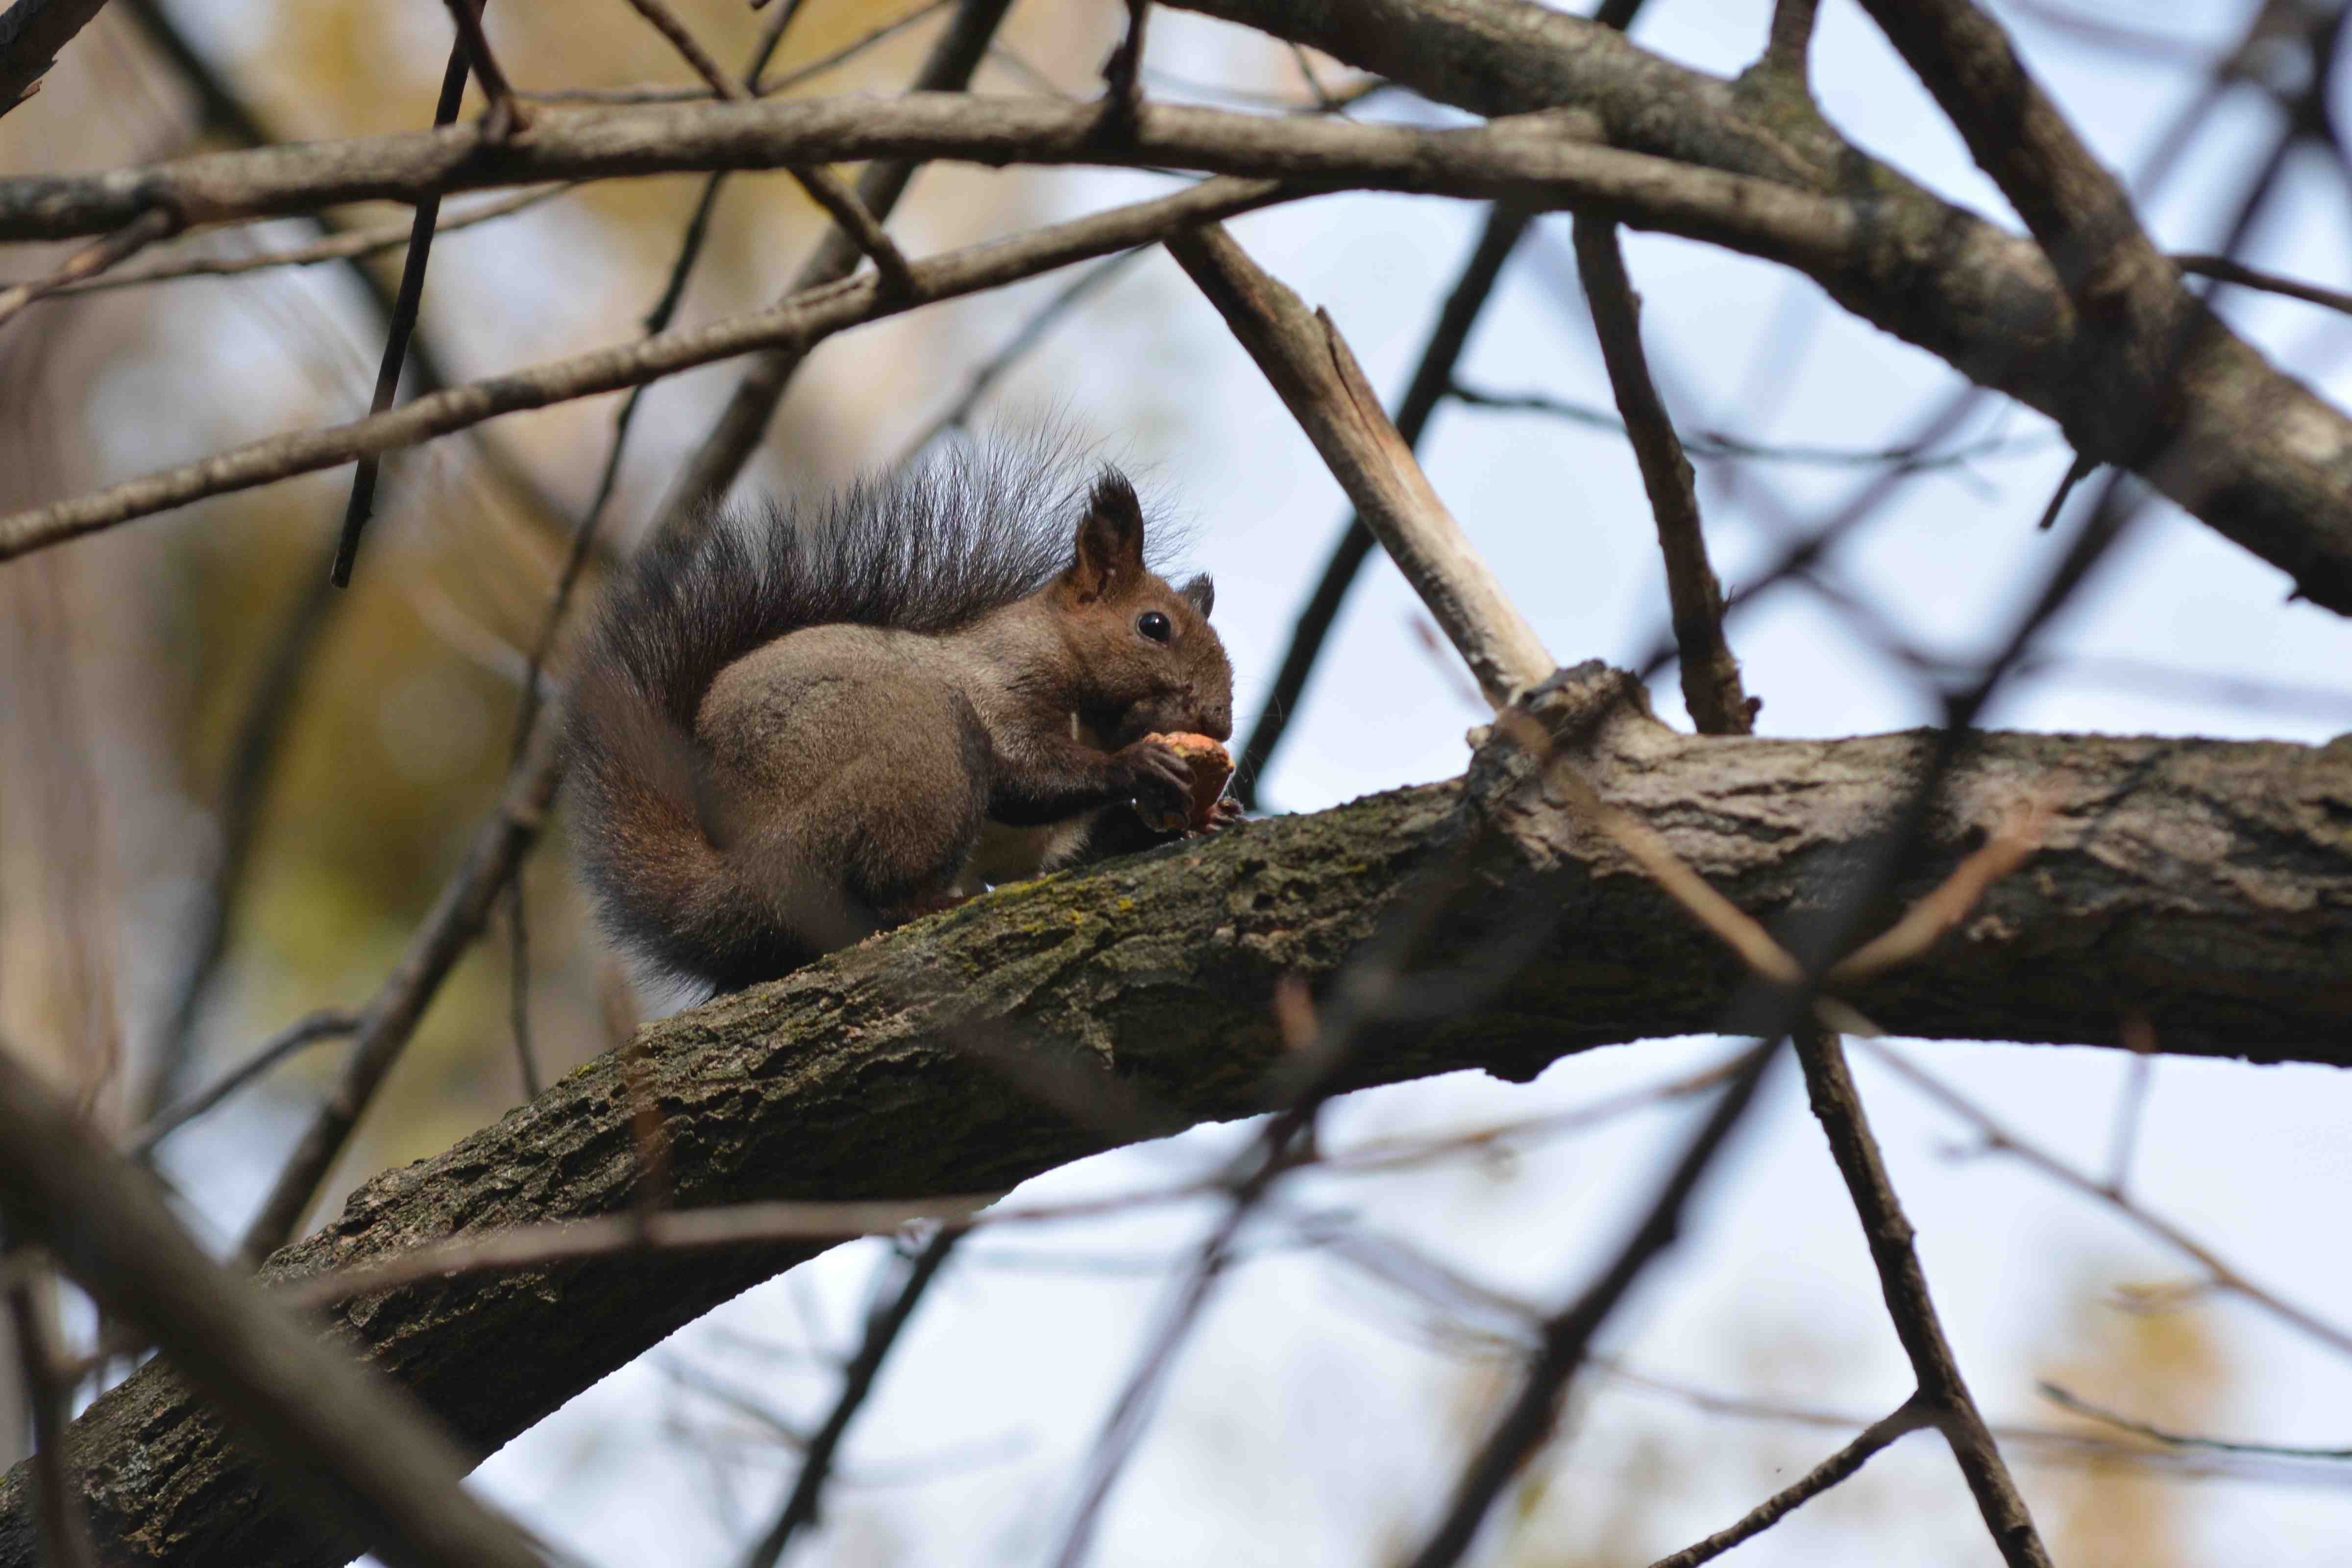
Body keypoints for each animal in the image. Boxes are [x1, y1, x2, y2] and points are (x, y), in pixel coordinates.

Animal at [566, 441, 1232, 992]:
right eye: (1154, 625)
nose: (1221, 721)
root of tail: (734, 873)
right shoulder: (1001, 685)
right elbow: (1026, 776)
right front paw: (1138, 765)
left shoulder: (1044, 845)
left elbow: (1063, 850)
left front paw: (1195, 815)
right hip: (912, 763)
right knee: (880, 891)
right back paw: (930, 906)